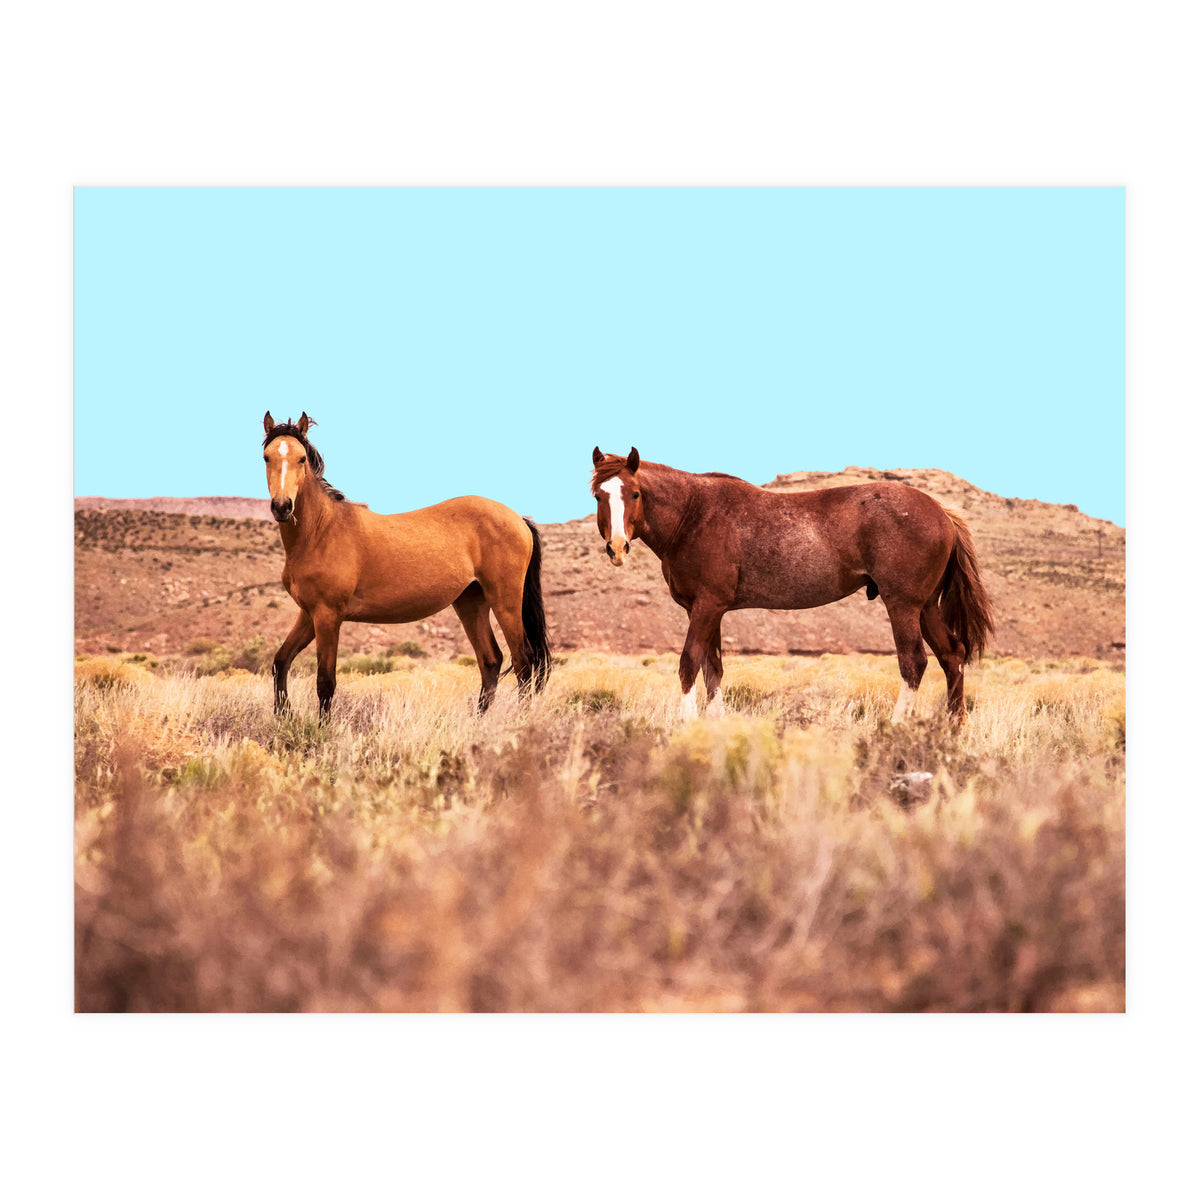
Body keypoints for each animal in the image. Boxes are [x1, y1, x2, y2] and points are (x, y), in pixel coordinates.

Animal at [261, 412, 551, 717]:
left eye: (301, 458)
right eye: (267, 457)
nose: (282, 506)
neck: (321, 531)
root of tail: (518, 518)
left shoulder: (328, 616)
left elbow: (325, 682)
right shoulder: (309, 614)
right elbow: (280, 662)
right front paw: (283, 714)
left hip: (505, 600)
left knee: (524, 662)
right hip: (470, 602)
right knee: (491, 660)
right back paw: (478, 721)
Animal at [590, 446, 994, 723]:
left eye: (635, 494)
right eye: (598, 495)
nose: (617, 547)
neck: (694, 515)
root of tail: (942, 513)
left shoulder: (706, 606)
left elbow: (689, 663)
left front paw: (687, 723)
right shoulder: (709, 611)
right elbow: (713, 669)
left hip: (903, 606)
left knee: (914, 663)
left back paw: (896, 726)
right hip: (925, 607)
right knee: (952, 656)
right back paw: (953, 728)